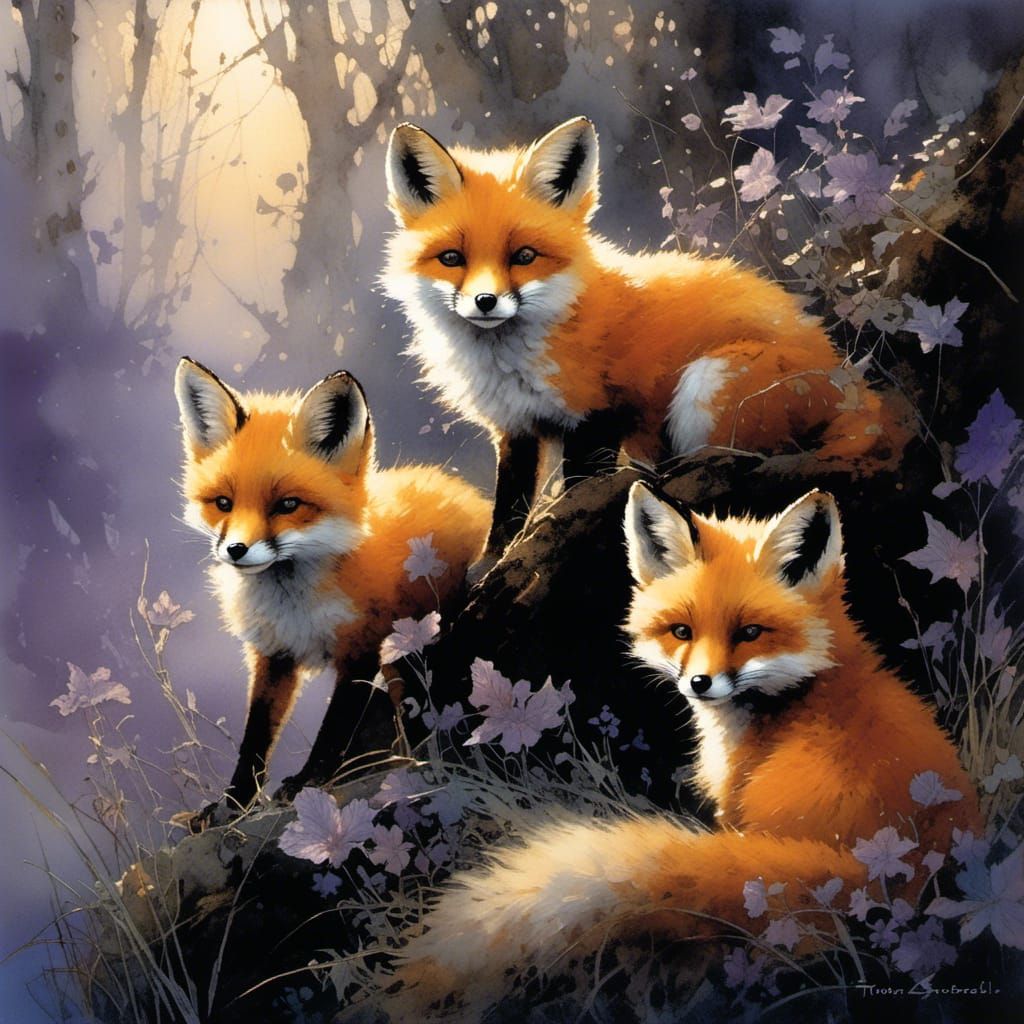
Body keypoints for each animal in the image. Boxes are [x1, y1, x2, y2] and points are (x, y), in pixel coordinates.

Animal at [174, 358, 488, 826]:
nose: (236, 550)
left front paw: (307, 781)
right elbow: (255, 739)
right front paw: (232, 804)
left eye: (288, 505)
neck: (295, 606)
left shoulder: (363, 648)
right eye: (223, 503)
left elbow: (335, 727)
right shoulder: (273, 656)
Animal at [383, 116, 905, 567]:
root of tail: (850, 379)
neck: (512, 358)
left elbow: (577, 486)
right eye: (452, 258)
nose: (485, 302)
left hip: (707, 382)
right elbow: (507, 509)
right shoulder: (515, 428)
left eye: (524, 256)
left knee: (745, 458)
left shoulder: (598, 412)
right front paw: (490, 564)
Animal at [385, 484, 982, 1017]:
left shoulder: (733, 807)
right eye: (681, 630)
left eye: (749, 632)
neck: (805, 693)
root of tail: (881, 861)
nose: (699, 683)